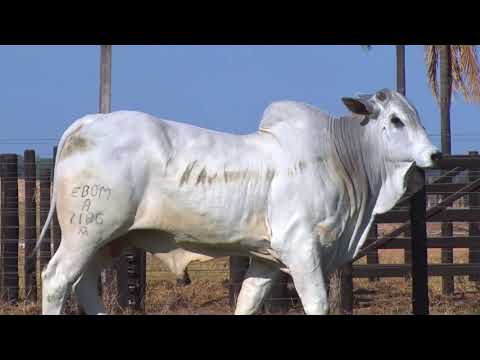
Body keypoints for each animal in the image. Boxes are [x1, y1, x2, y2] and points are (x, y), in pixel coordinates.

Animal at [35, 88, 440, 314]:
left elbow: (247, 300)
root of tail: (89, 122)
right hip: (85, 234)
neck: (341, 157)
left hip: (105, 241)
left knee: (83, 284)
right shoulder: (301, 250)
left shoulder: (268, 259)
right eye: (396, 120)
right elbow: (317, 304)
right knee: (57, 280)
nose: (434, 154)